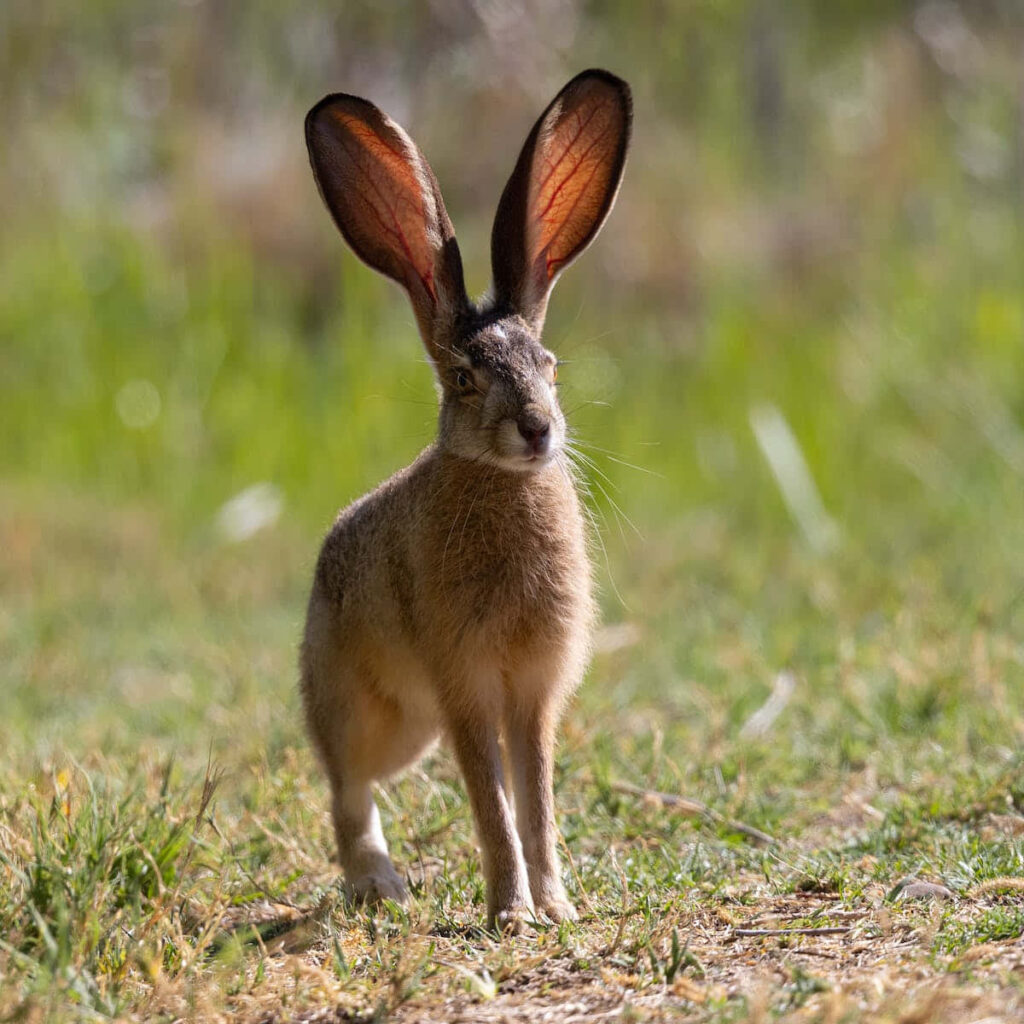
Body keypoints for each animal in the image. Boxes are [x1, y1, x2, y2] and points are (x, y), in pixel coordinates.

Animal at [300, 69, 631, 933]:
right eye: (462, 380)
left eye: (550, 364)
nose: (537, 428)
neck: (502, 483)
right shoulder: (466, 687)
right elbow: (493, 808)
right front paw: (512, 915)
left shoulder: (532, 695)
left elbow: (535, 804)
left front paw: (557, 907)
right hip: (371, 712)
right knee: (347, 788)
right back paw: (377, 884)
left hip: (414, 728)